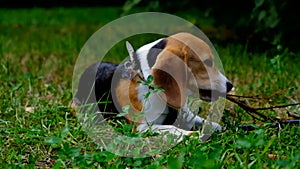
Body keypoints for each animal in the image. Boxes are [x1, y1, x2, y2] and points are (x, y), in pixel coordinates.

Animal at [74, 32, 232, 139]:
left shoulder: (185, 115)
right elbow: (171, 127)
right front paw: (191, 134)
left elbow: (206, 122)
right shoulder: (143, 127)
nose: (230, 85)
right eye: (208, 62)